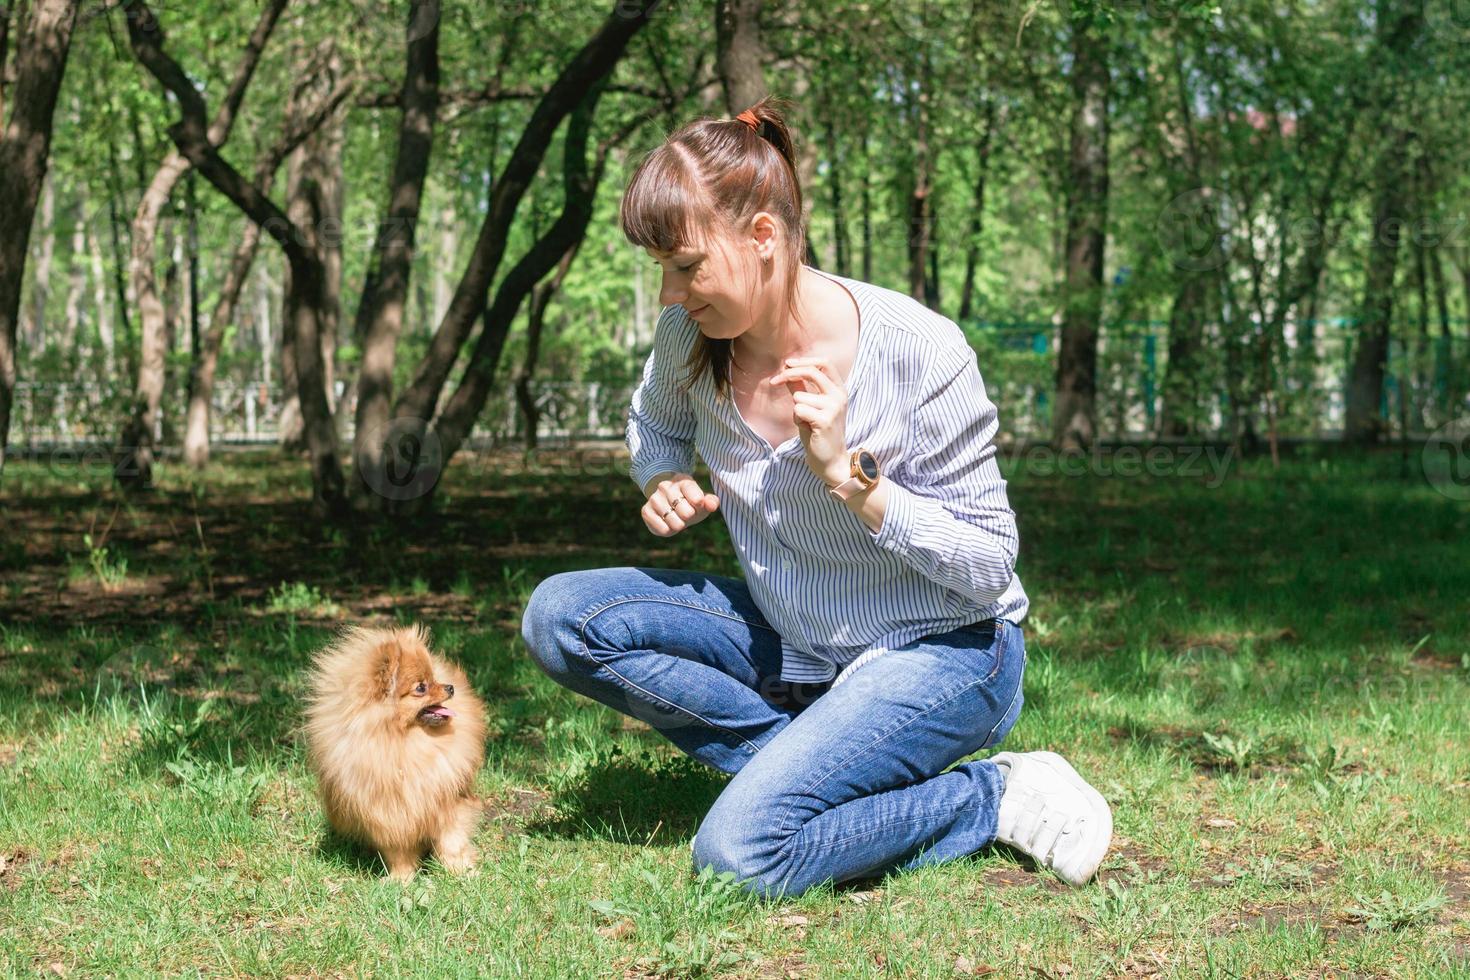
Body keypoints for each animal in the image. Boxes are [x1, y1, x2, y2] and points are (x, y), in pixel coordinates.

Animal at [304, 628, 488, 881]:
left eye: (434, 678)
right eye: (421, 687)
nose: (450, 687)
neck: (403, 744)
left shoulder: (449, 804)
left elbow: (453, 841)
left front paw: (461, 871)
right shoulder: (391, 815)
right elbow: (399, 853)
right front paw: (401, 879)